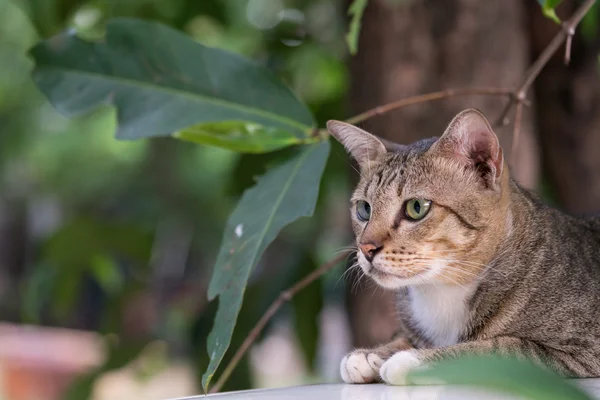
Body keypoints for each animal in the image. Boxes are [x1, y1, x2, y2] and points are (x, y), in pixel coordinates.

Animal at [326, 108, 600, 384]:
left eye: (416, 207)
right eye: (364, 209)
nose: (366, 249)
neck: (442, 292)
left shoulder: (582, 350)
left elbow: (496, 348)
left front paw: (411, 359)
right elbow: (404, 337)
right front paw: (373, 354)